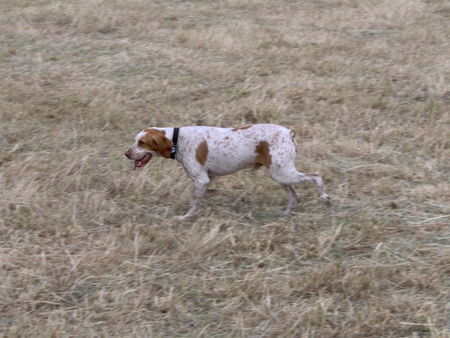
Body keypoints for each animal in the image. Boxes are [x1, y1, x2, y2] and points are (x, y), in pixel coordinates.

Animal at [125, 124, 328, 219]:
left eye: (141, 143)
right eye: (135, 141)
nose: (126, 154)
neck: (177, 139)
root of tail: (288, 132)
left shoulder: (201, 179)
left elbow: (194, 203)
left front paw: (186, 217)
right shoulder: (208, 178)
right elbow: (205, 194)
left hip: (283, 173)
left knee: (316, 177)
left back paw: (326, 198)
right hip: (280, 174)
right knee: (294, 196)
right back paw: (285, 213)